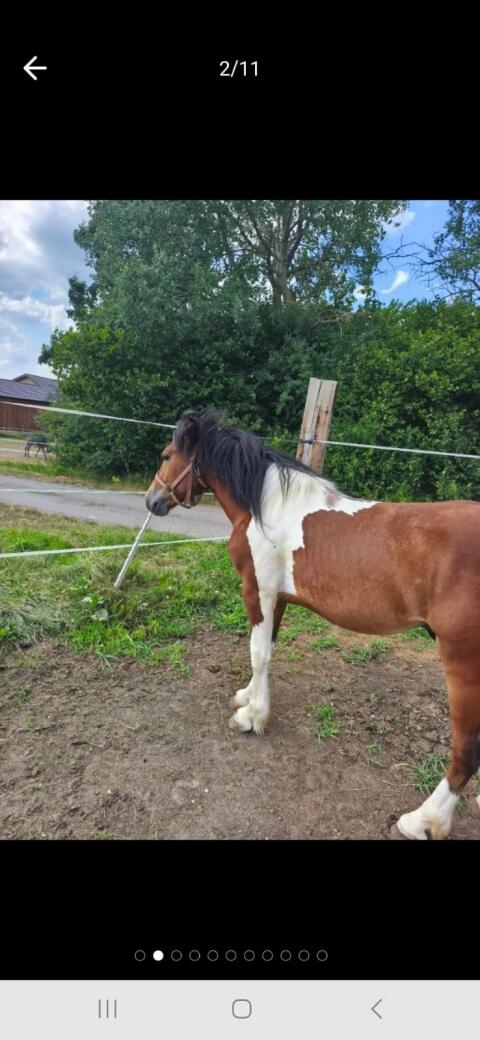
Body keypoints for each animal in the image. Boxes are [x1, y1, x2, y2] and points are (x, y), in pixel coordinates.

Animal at [145, 407, 480, 841]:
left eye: (167, 455)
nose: (151, 500)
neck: (266, 509)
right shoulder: (278, 599)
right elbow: (265, 650)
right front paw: (248, 697)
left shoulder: (258, 591)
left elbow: (258, 652)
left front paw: (252, 717)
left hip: (462, 662)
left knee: (467, 750)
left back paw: (422, 820)